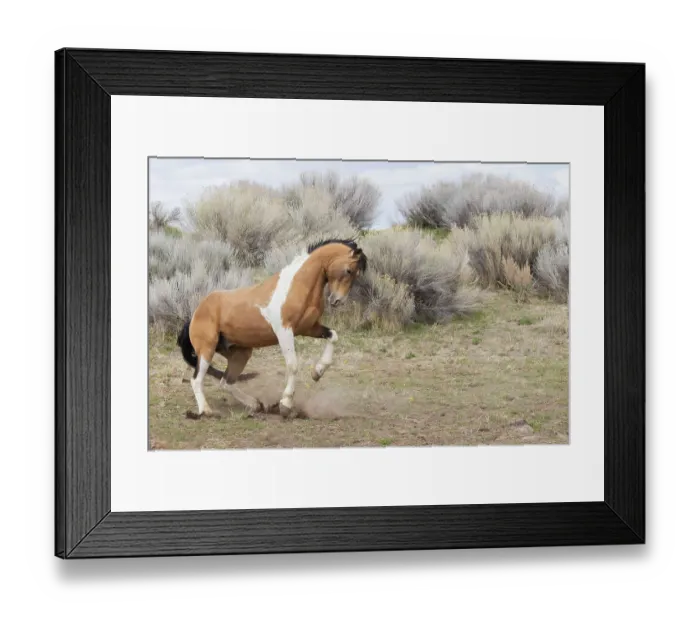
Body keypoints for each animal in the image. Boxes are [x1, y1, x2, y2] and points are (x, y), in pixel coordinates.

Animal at [176, 238, 368, 420]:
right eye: (349, 271)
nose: (337, 300)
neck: (298, 286)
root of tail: (195, 314)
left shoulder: (309, 328)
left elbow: (333, 336)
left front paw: (317, 372)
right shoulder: (284, 331)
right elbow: (292, 365)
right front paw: (285, 405)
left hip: (240, 354)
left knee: (226, 382)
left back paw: (255, 405)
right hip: (206, 350)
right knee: (196, 380)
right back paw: (206, 411)